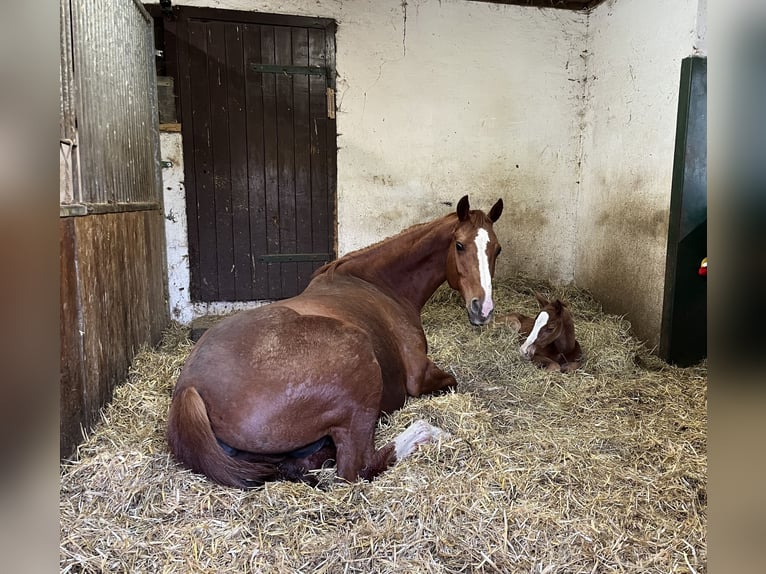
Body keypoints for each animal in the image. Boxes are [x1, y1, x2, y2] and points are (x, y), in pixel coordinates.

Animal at [167, 195, 504, 488]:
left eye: (497, 250)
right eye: (459, 245)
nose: (483, 309)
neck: (379, 286)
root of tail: (190, 388)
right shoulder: (419, 376)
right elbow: (452, 382)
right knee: (357, 469)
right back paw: (425, 432)